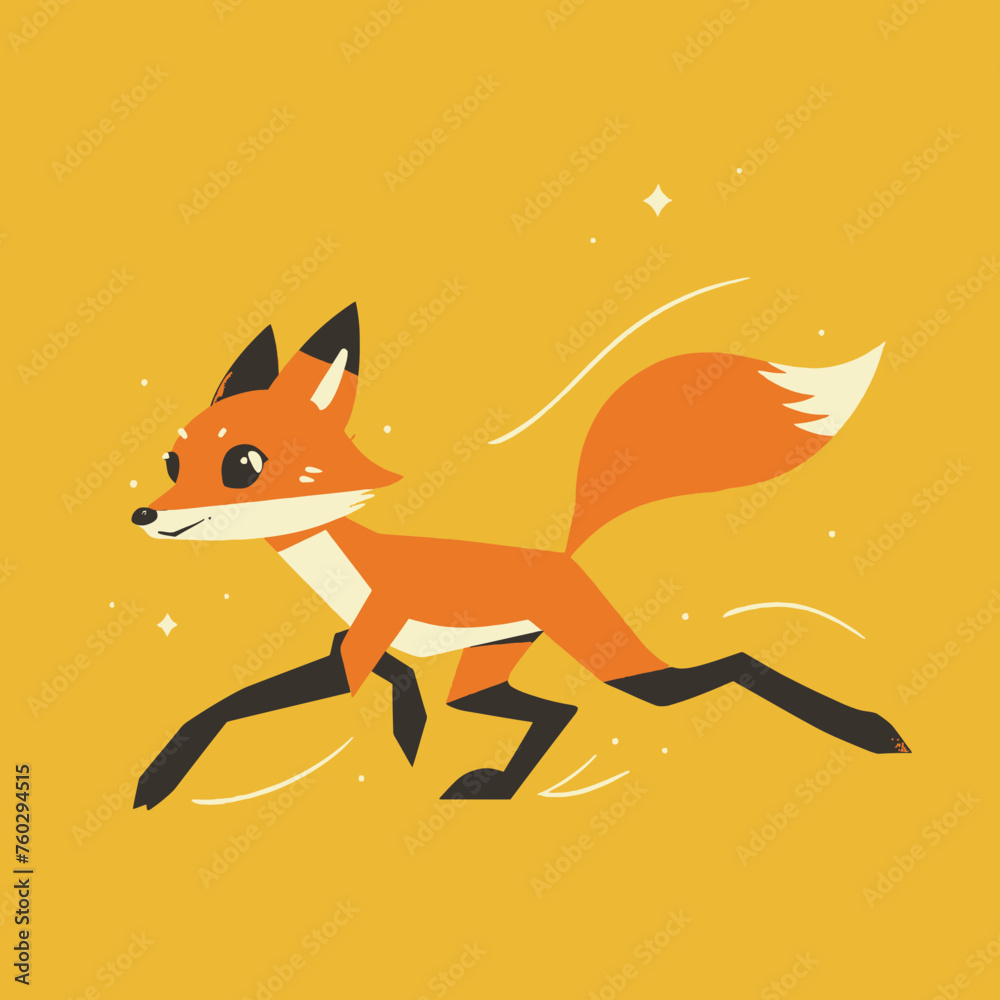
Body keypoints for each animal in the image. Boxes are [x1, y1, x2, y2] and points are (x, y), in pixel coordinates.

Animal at [131, 301, 910, 809]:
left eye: (243, 465)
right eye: (173, 461)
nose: (145, 514)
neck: (340, 564)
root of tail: (565, 553)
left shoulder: (361, 640)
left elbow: (226, 704)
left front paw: (160, 777)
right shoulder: (357, 639)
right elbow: (386, 672)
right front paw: (410, 723)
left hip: (619, 665)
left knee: (729, 665)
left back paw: (871, 731)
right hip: (484, 677)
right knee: (557, 713)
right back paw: (497, 788)